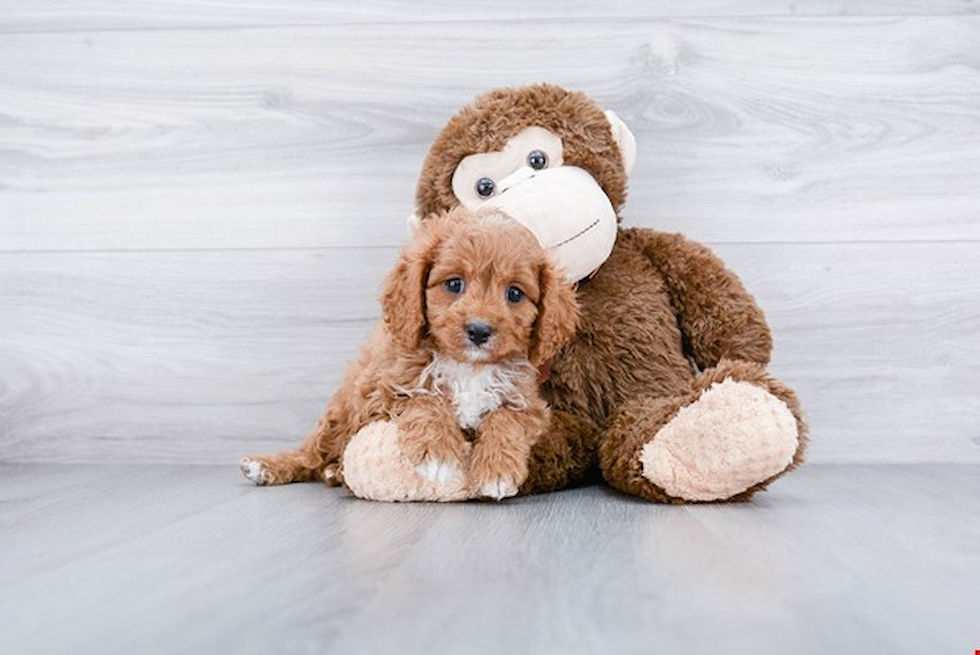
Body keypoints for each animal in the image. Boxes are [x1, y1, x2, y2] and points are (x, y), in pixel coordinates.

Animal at [241, 208, 580, 500]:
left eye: (514, 293)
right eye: (454, 284)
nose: (479, 330)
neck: (468, 368)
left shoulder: (529, 404)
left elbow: (506, 418)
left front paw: (498, 470)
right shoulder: (382, 393)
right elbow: (424, 400)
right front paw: (439, 455)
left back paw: (333, 472)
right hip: (339, 414)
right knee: (312, 453)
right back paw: (269, 466)